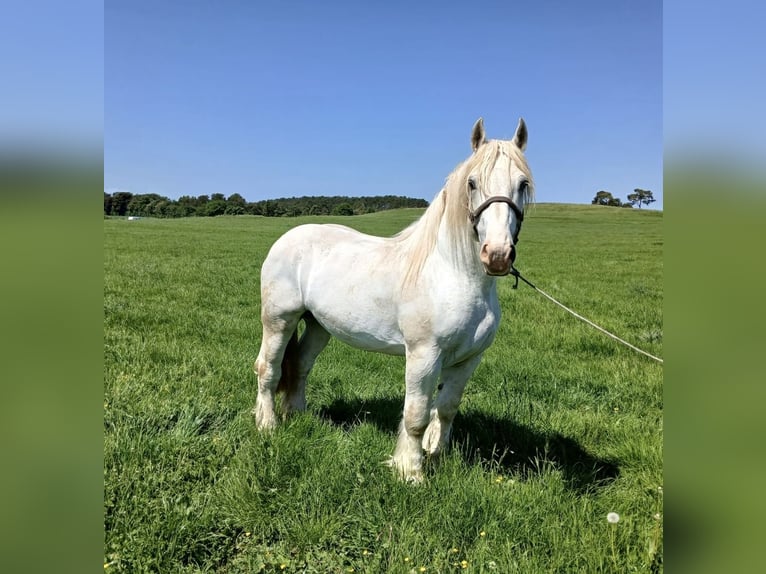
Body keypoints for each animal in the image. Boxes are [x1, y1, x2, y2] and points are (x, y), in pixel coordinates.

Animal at [253, 118, 534, 481]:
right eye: (472, 183)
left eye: (523, 184)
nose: (497, 255)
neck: (455, 275)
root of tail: (288, 237)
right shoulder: (424, 355)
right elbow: (416, 415)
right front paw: (410, 470)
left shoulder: (468, 359)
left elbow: (446, 408)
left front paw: (437, 457)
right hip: (279, 320)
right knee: (268, 368)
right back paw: (267, 425)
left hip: (318, 326)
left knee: (300, 366)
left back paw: (297, 415)